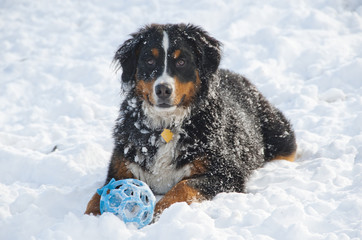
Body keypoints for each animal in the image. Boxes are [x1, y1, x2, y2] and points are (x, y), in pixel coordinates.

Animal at [85, 23, 296, 218]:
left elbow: (182, 187)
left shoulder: (225, 173)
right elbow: (98, 195)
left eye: (181, 62)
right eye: (149, 60)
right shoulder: (120, 168)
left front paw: (158, 212)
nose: (163, 89)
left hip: (280, 136)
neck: (166, 126)